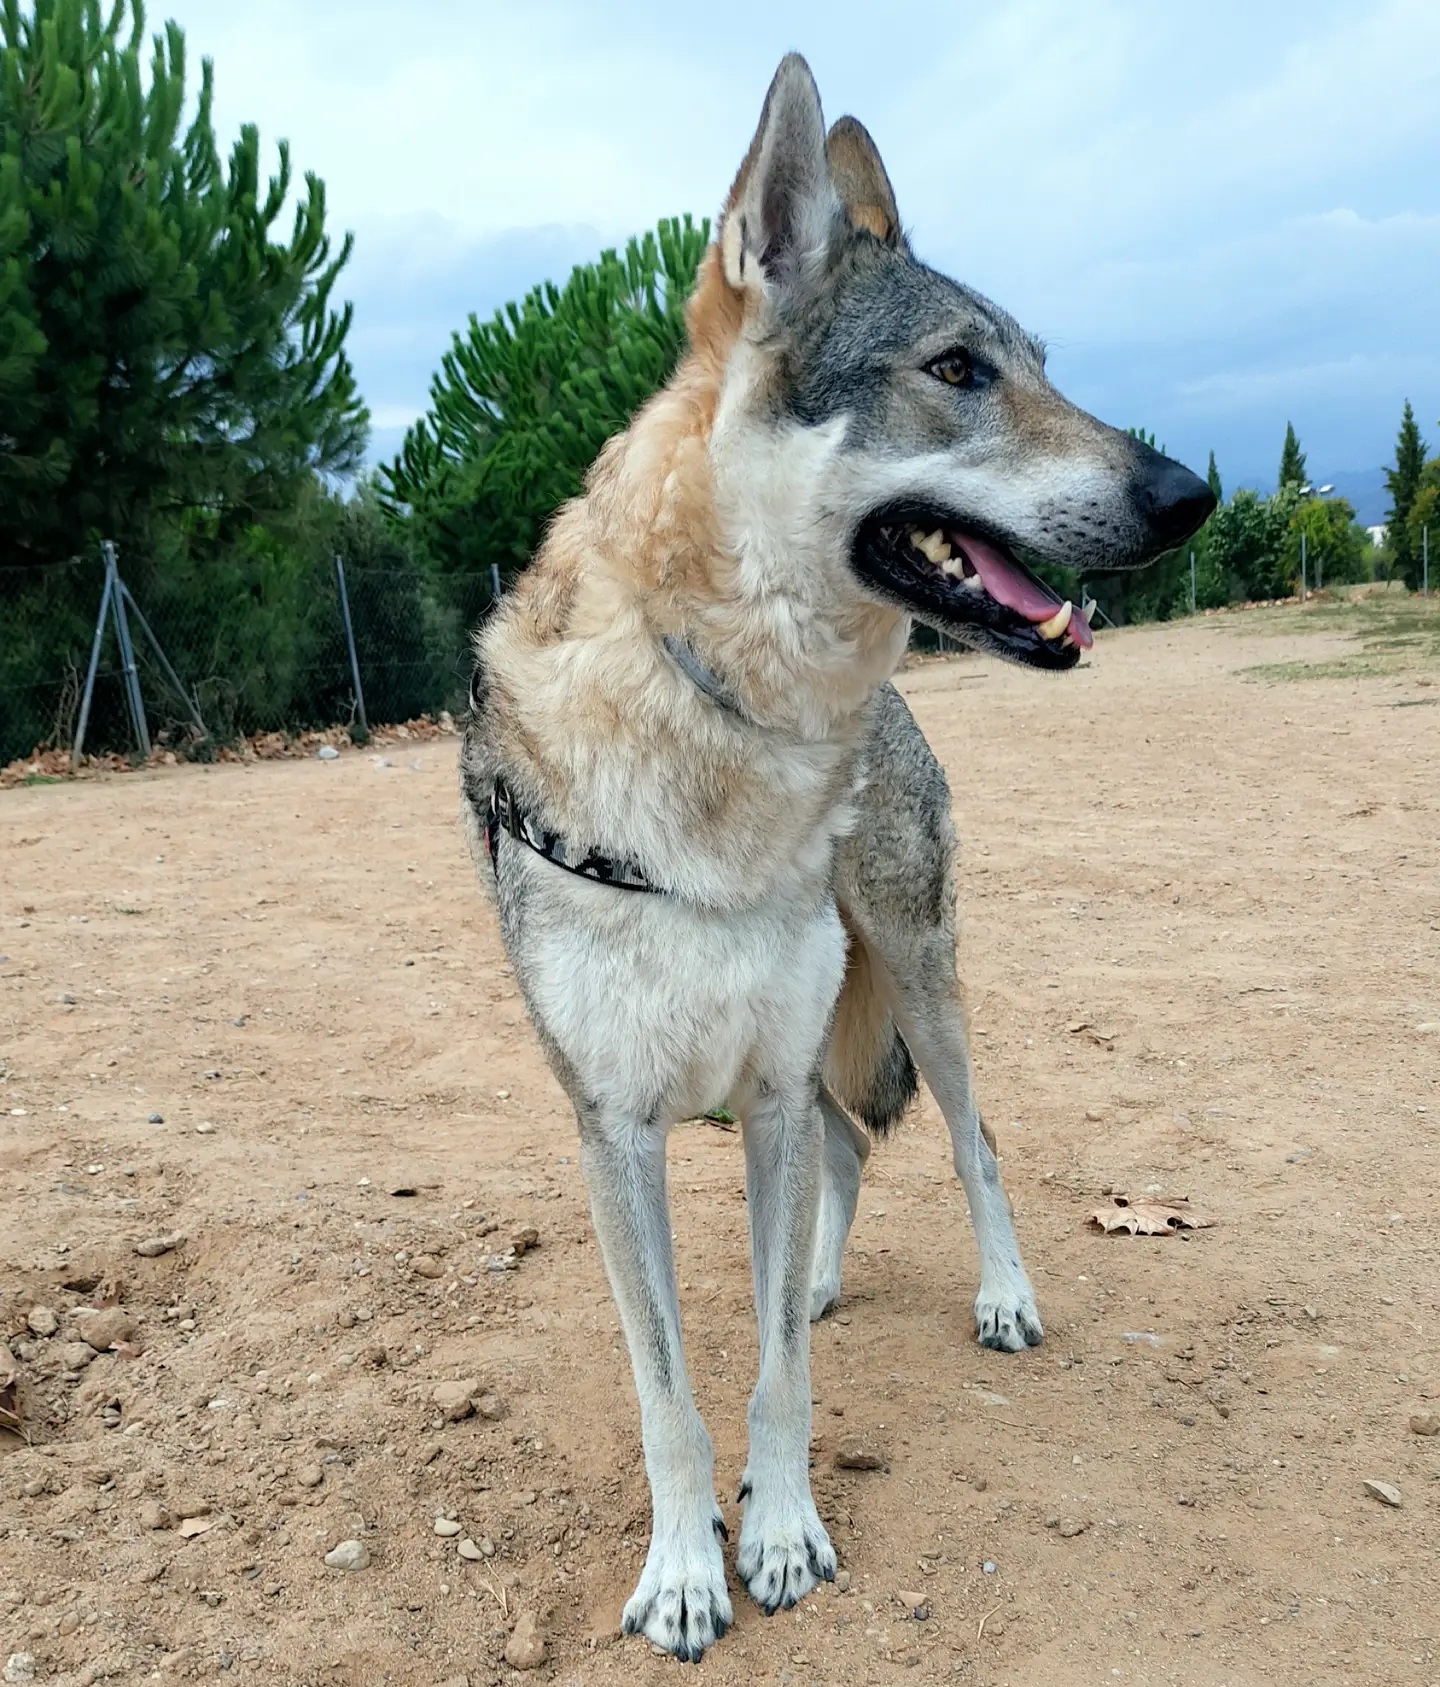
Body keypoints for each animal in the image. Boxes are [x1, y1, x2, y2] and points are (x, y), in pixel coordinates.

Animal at [460, 54, 1213, 1662]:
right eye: (958, 369)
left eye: (1041, 363)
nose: (1193, 494)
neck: (729, 724)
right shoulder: (619, 1126)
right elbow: (673, 1392)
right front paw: (686, 1567)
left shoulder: (762, 1088)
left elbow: (771, 1383)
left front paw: (784, 1530)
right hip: (816, 1058)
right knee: (854, 1160)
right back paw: (811, 1279)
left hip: (911, 987)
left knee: (970, 1140)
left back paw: (995, 1297)